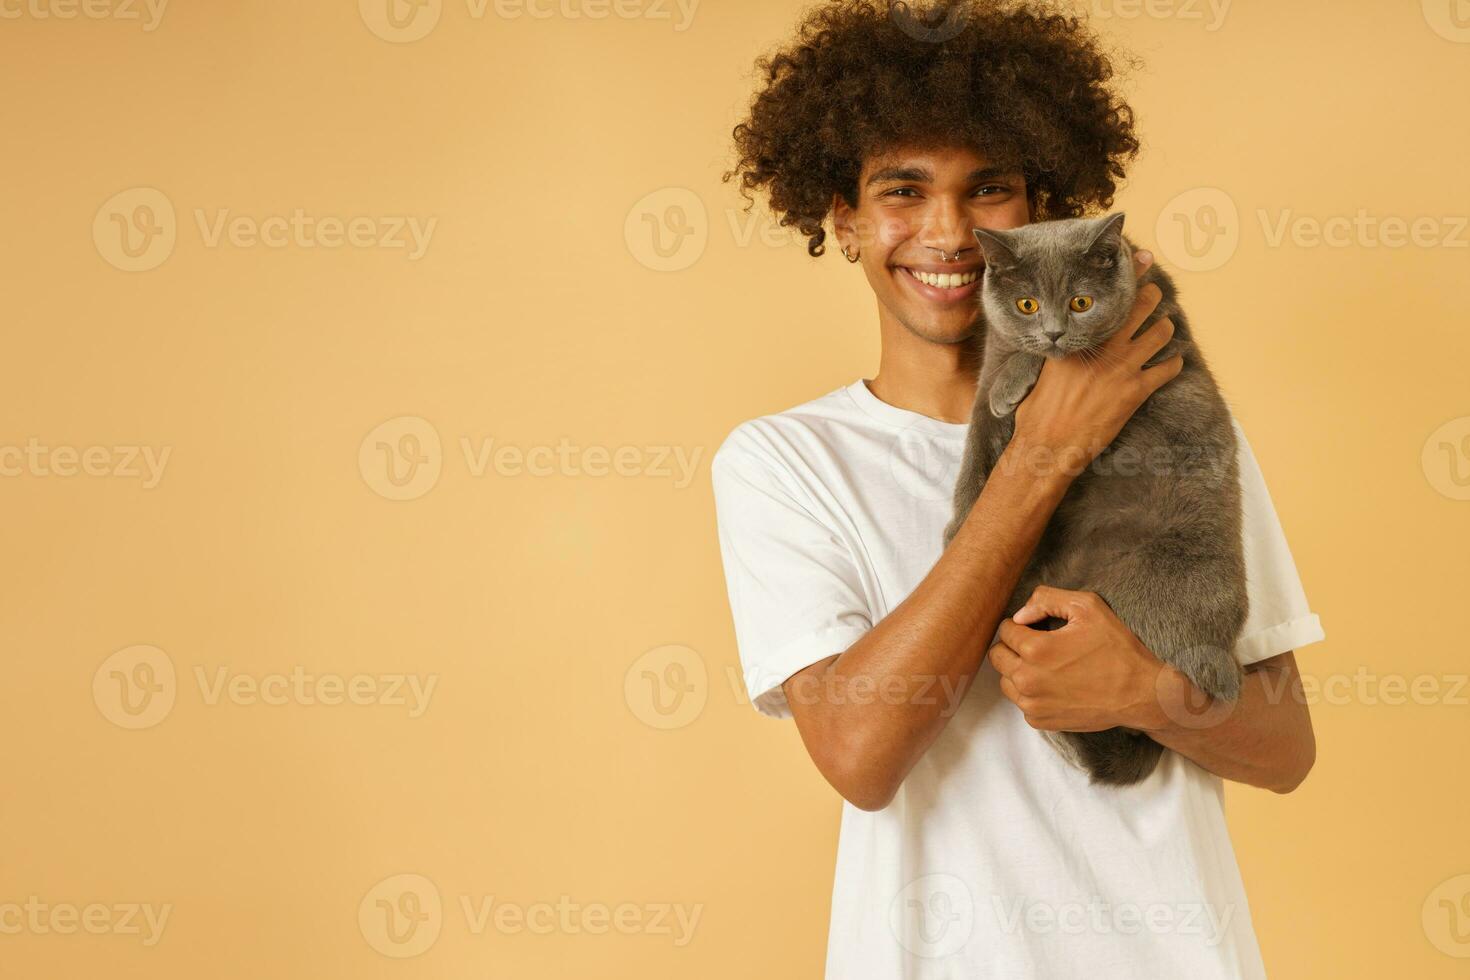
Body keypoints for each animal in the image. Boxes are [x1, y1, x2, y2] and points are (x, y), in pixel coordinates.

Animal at [940, 214, 1252, 787]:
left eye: (1081, 302)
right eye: (1027, 304)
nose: (1054, 332)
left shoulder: (1161, 329)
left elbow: (1027, 369)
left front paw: (1017, 379)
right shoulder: (988, 367)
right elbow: (978, 442)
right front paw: (960, 526)